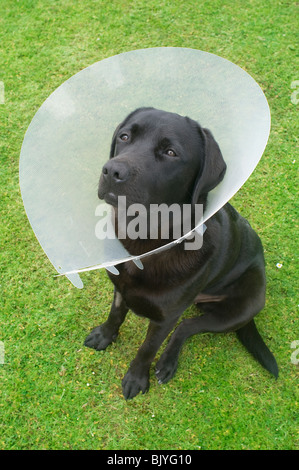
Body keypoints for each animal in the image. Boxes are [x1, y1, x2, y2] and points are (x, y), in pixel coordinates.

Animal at [85, 107, 278, 400]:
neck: (144, 240)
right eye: (124, 136)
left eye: (171, 152)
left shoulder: (165, 318)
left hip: (241, 308)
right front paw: (105, 336)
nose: (112, 170)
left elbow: (147, 348)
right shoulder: (120, 286)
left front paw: (136, 378)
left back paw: (167, 362)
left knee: (187, 327)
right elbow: (115, 313)